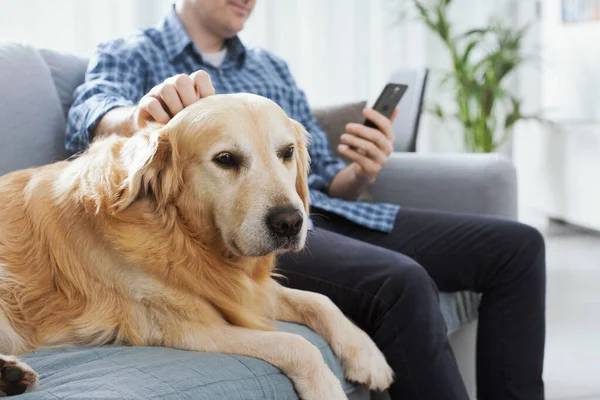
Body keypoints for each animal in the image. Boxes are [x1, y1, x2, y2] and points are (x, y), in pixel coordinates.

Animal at [0, 94, 394, 396]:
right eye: (226, 159)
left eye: (287, 152)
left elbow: (320, 300)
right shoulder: (189, 328)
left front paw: (367, 355)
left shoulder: (246, 292)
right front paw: (326, 388)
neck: (180, 233)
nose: (290, 222)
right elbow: (297, 344)